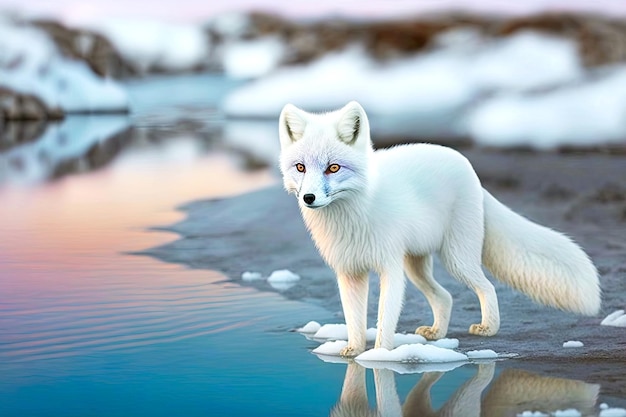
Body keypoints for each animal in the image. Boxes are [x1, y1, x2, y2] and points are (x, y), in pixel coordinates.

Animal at [278, 100, 600, 354]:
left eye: (333, 168)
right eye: (300, 167)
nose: (309, 198)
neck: (354, 216)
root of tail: (468, 167)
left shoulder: (389, 267)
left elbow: (385, 318)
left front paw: (380, 355)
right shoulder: (349, 272)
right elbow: (354, 320)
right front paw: (353, 351)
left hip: (456, 258)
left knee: (487, 286)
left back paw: (488, 328)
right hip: (416, 265)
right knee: (445, 297)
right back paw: (437, 333)